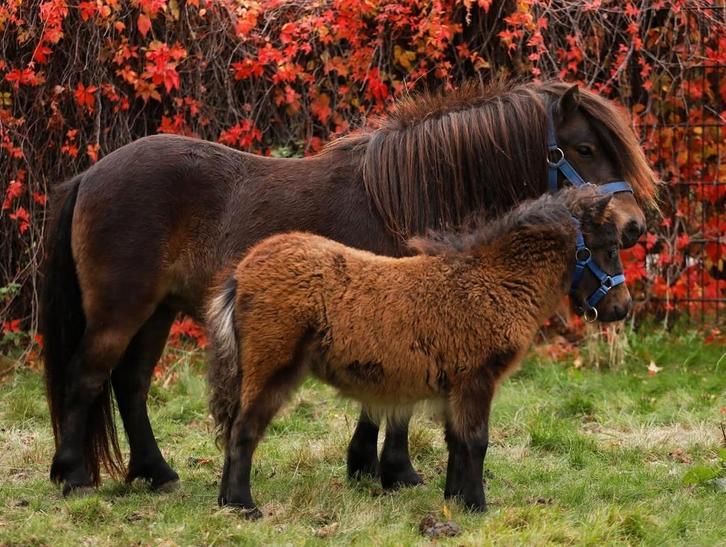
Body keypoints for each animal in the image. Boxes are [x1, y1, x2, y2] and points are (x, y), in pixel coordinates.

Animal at [205, 184, 630, 517]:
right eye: (609, 248)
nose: (622, 309)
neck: (495, 283)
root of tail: (242, 272)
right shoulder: (476, 379)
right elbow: (477, 440)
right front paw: (478, 506)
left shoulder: (456, 386)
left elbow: (456, 441)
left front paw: (455, 499)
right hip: (271, 367)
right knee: (243, 429)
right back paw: (244, 506)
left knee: (232, 427)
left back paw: (226, 502)